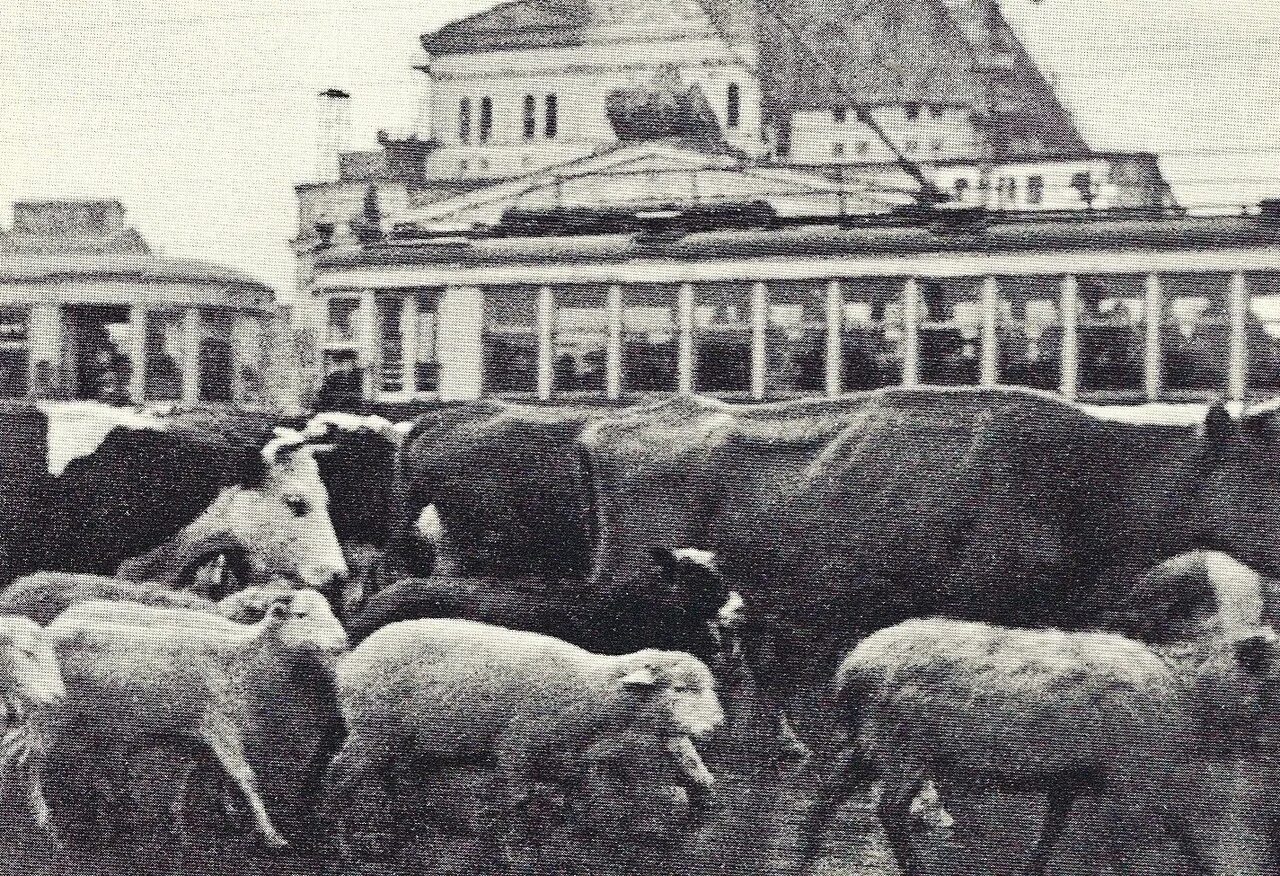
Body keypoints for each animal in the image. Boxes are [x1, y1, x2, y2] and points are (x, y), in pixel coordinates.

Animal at [46, 584, 348, 845]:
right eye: (302, 614)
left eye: (330, 610)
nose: (342, 641)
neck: (241, 657)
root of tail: (59, 622)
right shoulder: (219, 724)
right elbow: (245, 777)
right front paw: (270, 834)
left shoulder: (204, 730)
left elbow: (199, 772)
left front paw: (193, 815)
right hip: (62, 715)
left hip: (104, 721)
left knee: (99, 759)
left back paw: (114, 804)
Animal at [330, 619, 727, 860]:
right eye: (679, 689)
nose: (715, 725)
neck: (590, 692)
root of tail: (350, 662)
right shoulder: (515, 748)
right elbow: (518, 800)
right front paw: (517, 844)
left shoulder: (567, 759)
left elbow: (580, 796)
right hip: (374, 731)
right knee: (341, 775)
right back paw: (344, 836)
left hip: (403, 741)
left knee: (395, 779)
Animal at [793, 614, 1274, 876]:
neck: (1191, 689)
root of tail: (851, 667)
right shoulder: (1135, 779)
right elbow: (1140, 844)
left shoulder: (1071, 779)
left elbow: (1052, 833)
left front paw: (1031, 869)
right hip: (902, 747)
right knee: (887, 809)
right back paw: (912, 868)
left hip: (870, 743)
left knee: (828, 790)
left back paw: (803, 857)